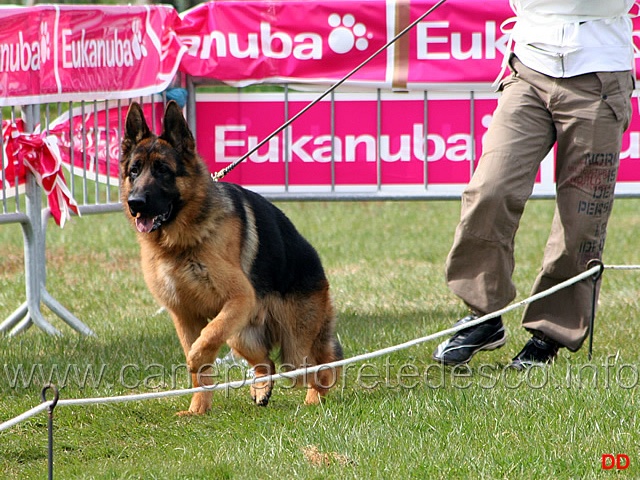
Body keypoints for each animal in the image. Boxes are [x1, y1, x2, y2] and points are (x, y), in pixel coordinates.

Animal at [118, 102, 342, 416]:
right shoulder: (184, 316)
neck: (181, 242)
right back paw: (262, 388)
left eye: (163, 171)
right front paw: (197, 410)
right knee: (268, 362)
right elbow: (201, 369)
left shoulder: (239, 297)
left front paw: (195, 359)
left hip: (292, 341)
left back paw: (314, 399)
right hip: (241, 333)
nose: (135, 203)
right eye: (135, 171)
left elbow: (207, 339)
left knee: (322, 366)